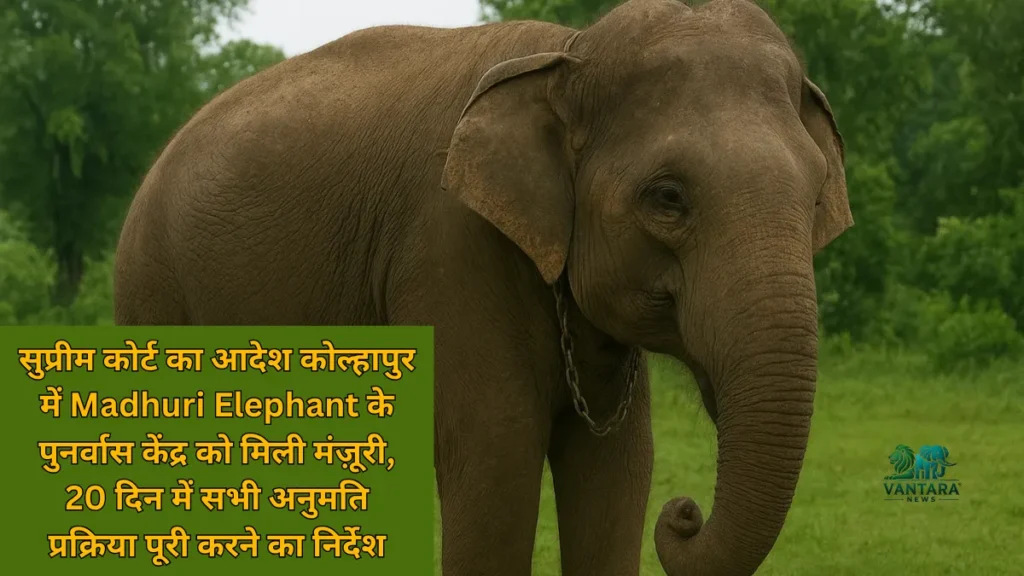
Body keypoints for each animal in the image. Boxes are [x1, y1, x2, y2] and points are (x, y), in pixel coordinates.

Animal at [113, 0, 852, 574]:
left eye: (816, 195)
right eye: (667, 197)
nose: (684, 513)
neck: (569, 52)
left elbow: (618, 464)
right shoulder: (448, 246)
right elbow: (496, 452)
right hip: (153, 290)